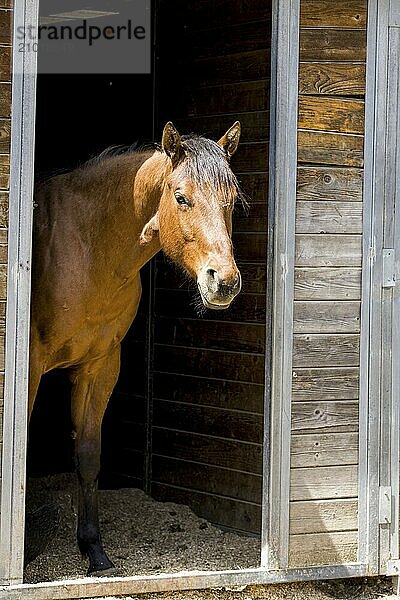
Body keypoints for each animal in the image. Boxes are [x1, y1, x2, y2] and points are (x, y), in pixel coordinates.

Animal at [29, 119, 242, 576]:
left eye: (232, 201)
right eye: (181, 197)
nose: (224, 281)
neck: (89, 248)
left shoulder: (101, 366)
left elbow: (89, 455)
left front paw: (93, 549)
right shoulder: (32, 366)